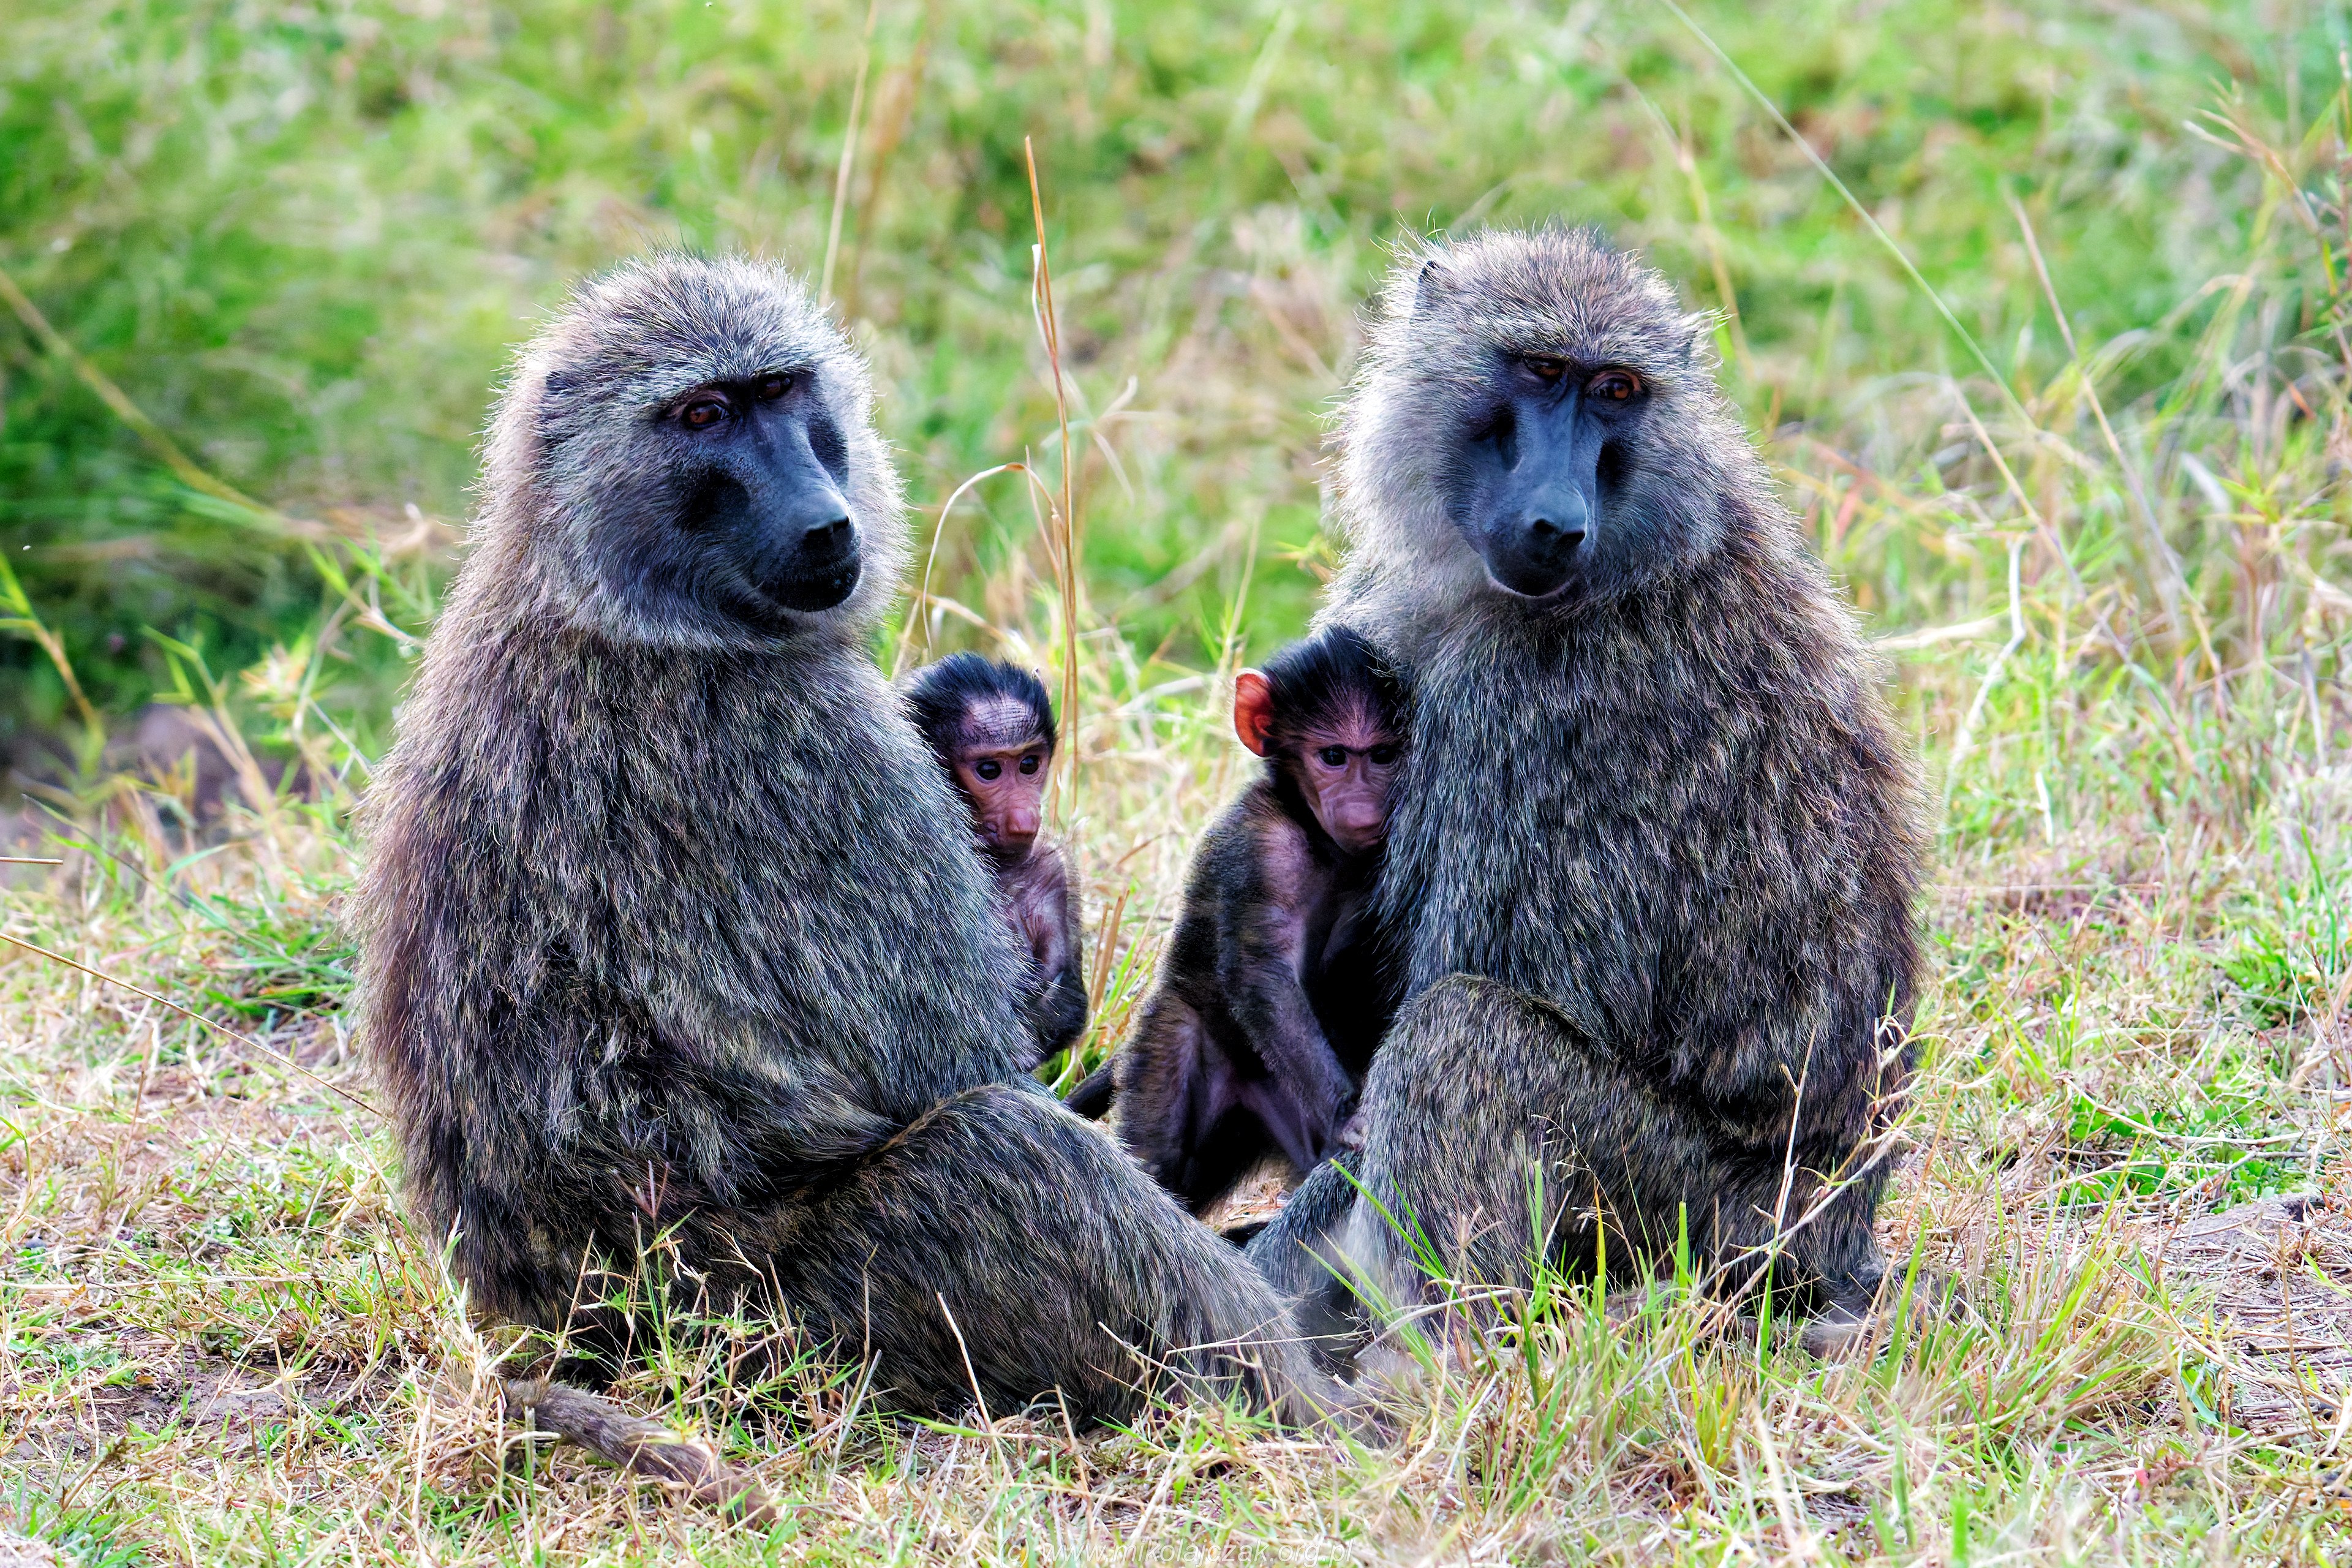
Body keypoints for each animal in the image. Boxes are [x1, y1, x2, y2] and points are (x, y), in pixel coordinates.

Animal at [1082, 626, 1407, 1217]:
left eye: (1382, 755)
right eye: (1333, 756)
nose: (1365, 809)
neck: (1315, 835)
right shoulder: (1261, 848)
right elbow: (1261, 972)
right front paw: (1348, 1113)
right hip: (1171, 1042)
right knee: (1163, 1159)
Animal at [1244, 229, 1925, 1359]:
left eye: (1616, 391)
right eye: (1540, 372)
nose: (1556, 523)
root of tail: (1840, 1228)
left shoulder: (1533, 710)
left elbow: (1462, 988)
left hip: (1689, 1220)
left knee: (1461, 1033)